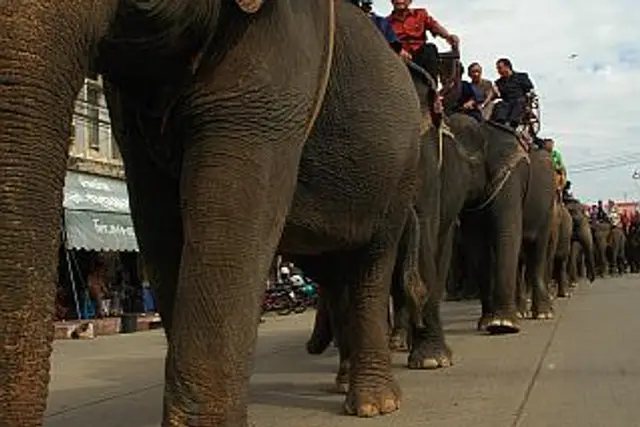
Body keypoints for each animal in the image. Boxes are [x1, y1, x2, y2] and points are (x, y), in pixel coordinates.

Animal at [0, 1, 432, 424]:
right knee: (334, 271)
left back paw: (375, 404)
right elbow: (158, 225)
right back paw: (347, 381)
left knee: (371, 265)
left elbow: (230, 218)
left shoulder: (276, 63)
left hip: (400, 176)